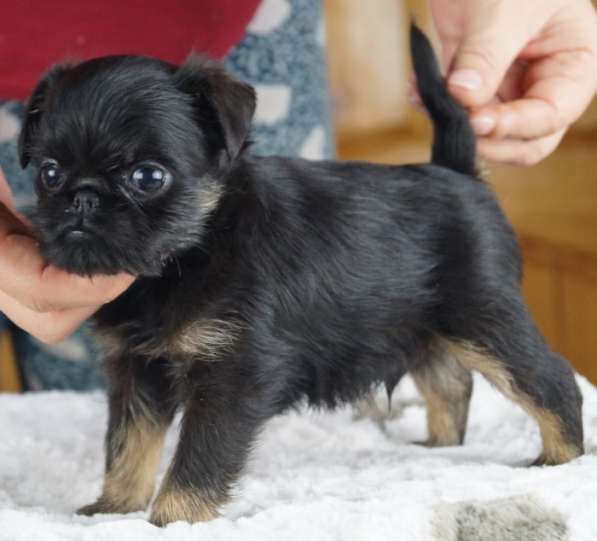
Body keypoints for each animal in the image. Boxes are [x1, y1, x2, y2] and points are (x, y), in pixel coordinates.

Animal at [17, 25, 584, 524]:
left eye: (148, 177)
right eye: (48, 173)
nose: (82, 197)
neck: (186, 254)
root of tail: (457, 172)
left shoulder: (232, 376)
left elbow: (196, 459)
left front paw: (172, 519)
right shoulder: (137, 370)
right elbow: (127, 444)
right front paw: (113, 509)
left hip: (482, 316)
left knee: (552, 381)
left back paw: (562, 458)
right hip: (424, 327)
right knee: (450, 382)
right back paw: (438, 448)